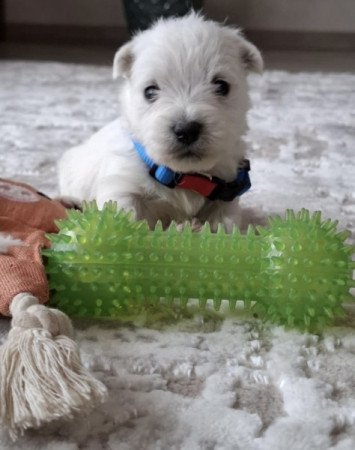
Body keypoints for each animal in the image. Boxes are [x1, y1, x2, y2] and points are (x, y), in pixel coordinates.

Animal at [59, 13, 264, 232]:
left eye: (222, 86)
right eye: (149, 91)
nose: (187, 130)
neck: (184, 177)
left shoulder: (226, 197)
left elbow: (225, 225)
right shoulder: (121, 184)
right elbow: (124, 216)